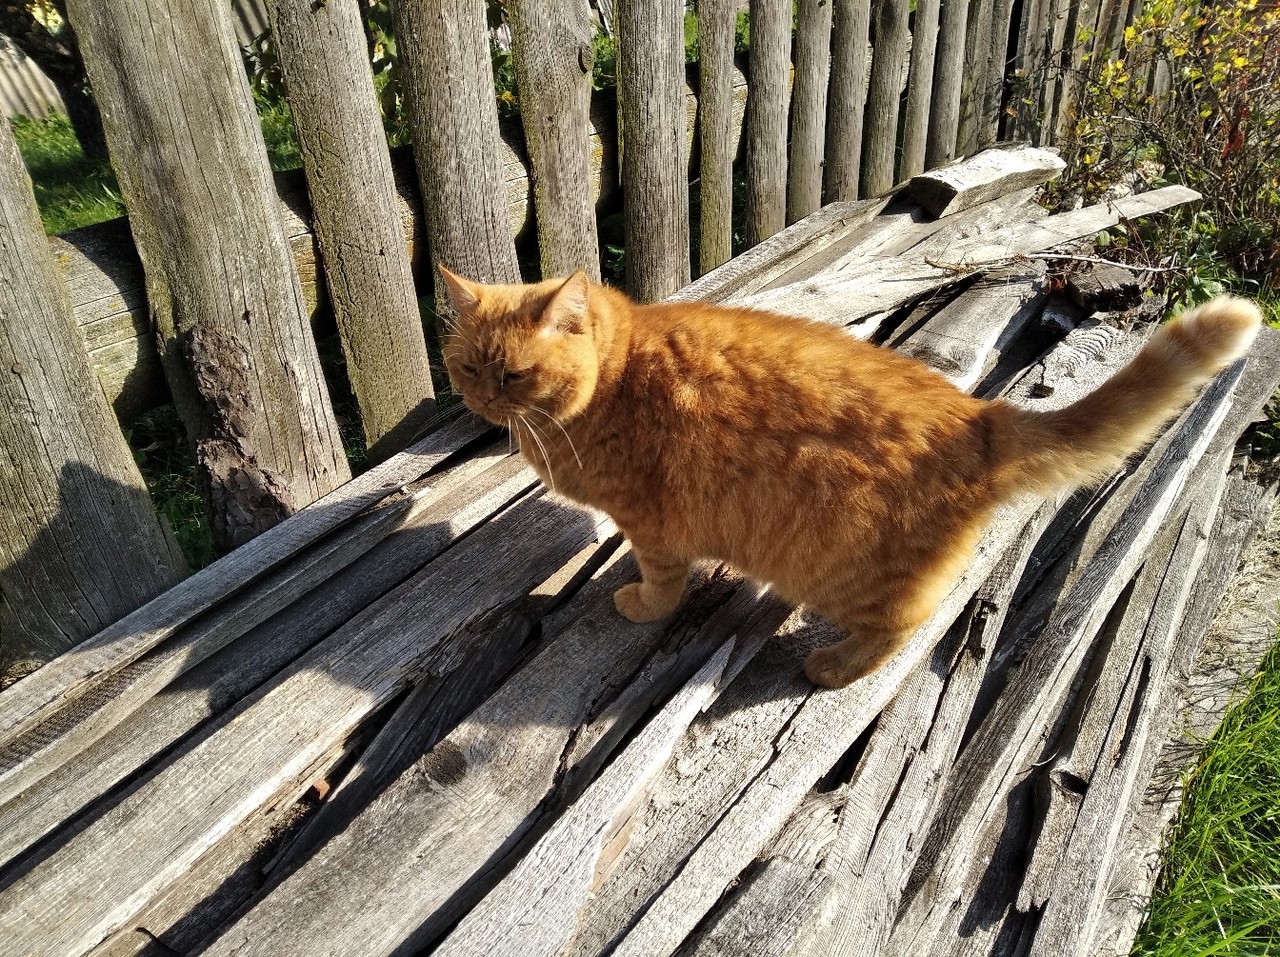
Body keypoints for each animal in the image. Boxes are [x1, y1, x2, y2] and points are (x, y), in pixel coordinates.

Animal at [440, 268, 1259, 685]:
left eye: (515, 373)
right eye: (468, 367)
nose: (481, 401)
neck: (612, 378)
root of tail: (979, 415)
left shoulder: (652, 526)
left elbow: (663, 581)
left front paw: (640, 603)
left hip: (845, 574)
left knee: (906, 624)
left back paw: (832, 667)